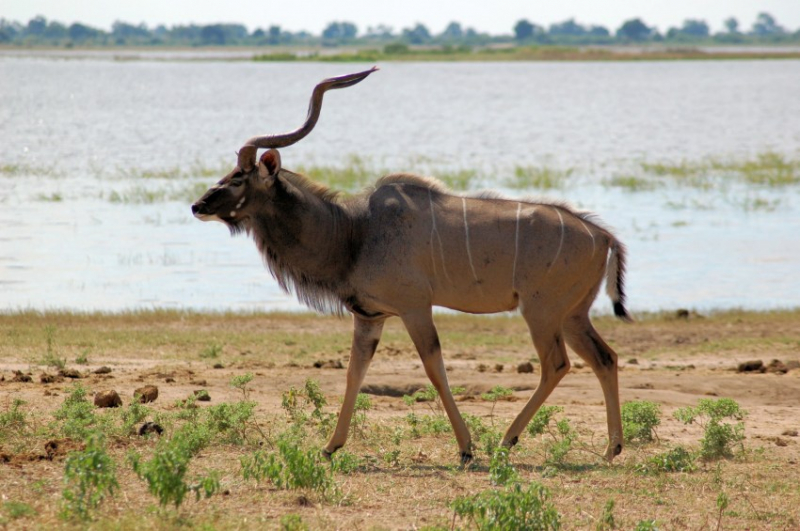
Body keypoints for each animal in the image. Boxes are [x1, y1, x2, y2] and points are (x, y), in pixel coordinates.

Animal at [192, 67, 632, 466]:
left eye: (237, 179)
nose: (198, 205)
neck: (354, 230)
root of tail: (603, 236)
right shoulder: (370, 316)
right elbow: (354, 373)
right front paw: (330, 447)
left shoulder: (415, 307)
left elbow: (434, 368)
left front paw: (466, 449)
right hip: (571, 315)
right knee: (604, 358)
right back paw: (611, 448)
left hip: (540, 311)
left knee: (556, 364)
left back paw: (507, 441)